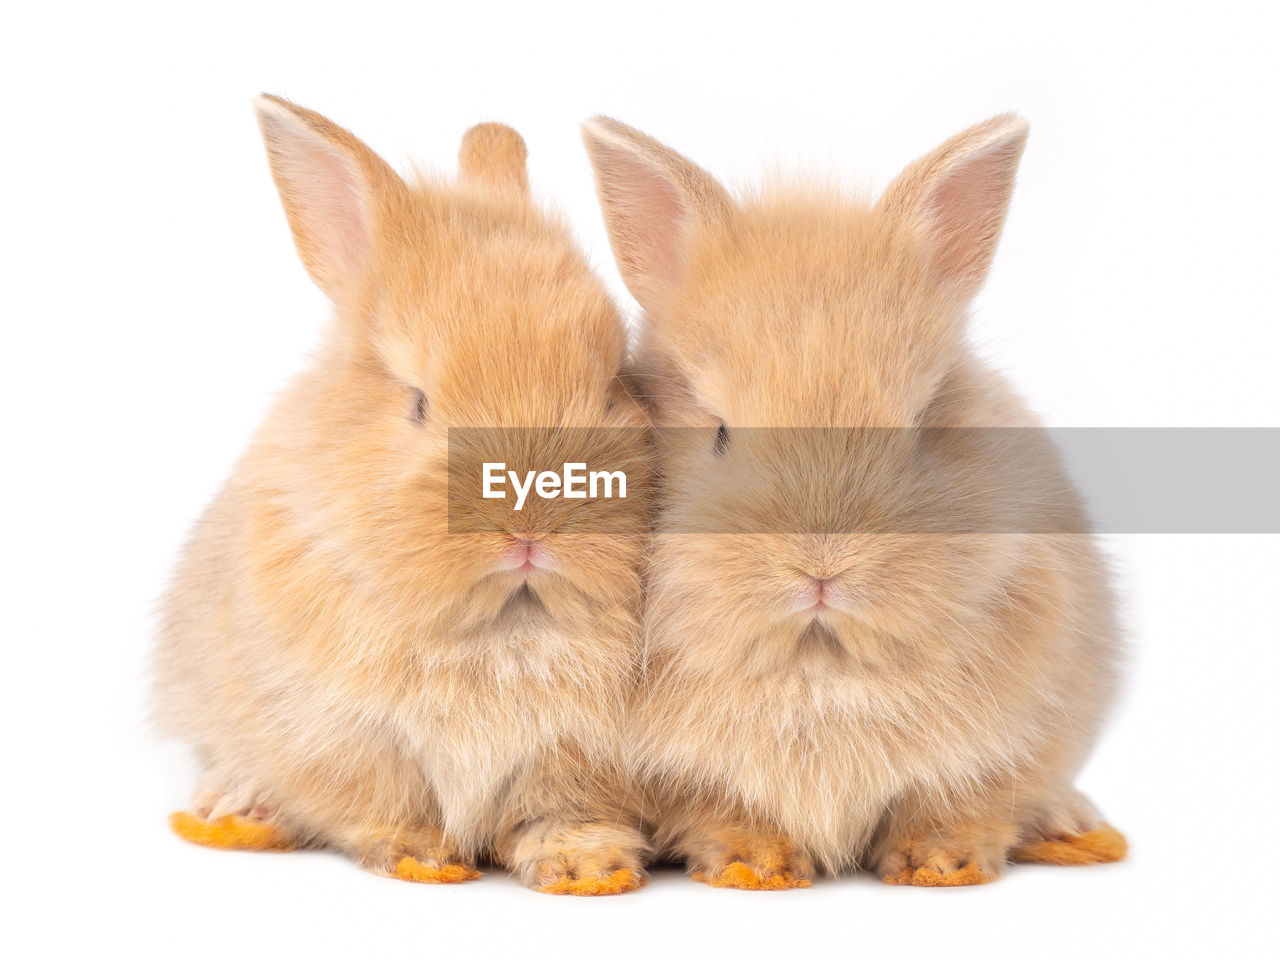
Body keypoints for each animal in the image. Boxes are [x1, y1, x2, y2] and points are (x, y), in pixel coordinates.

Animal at [152, 97, 650, 896]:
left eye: (611, 387)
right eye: (418, 403)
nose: (530, 530)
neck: (504, 624)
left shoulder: (582, 762)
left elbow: (567, 812)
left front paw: (587, 869)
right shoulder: (344, 740)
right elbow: (381, 804)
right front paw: (419, 858)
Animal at [586, 116, 1126, 890]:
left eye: (924, 422)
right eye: (719, 432)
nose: (822, 568)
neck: (820, 659)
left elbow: (958, 803)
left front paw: (941, 863)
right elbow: (722, 809)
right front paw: (754, 862)